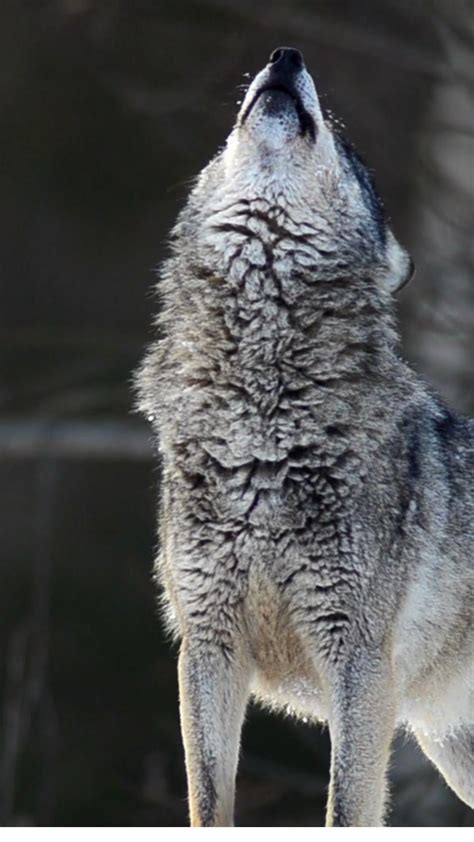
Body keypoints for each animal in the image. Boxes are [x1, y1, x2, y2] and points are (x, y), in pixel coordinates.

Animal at [136, 48, 474, 826]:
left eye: (346, 146)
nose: (286, 56)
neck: (261, 424)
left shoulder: (361, 660)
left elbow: (346, 809)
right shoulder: (207, 649)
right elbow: (207, 805)